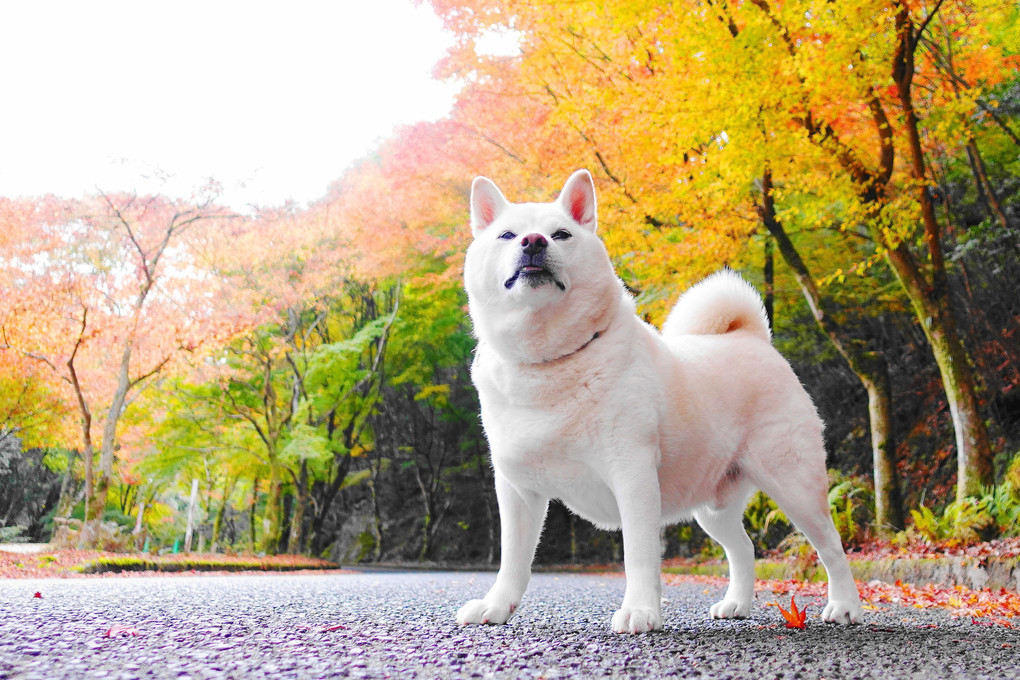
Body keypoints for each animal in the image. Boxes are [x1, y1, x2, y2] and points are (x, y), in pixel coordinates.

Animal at [459, 169, 864, 632]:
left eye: (561, 234)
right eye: (507, 235)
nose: (532, 242)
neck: (549, 362)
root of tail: (753, 339)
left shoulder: (632, 476)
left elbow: (638, 555)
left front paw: (639, 610)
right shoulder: (517, 492)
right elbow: (513, 560)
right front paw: (495, 606)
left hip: (794, 484)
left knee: (832, 546)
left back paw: (845, 606)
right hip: (714, 506)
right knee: (743, 548)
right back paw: (737, 604)